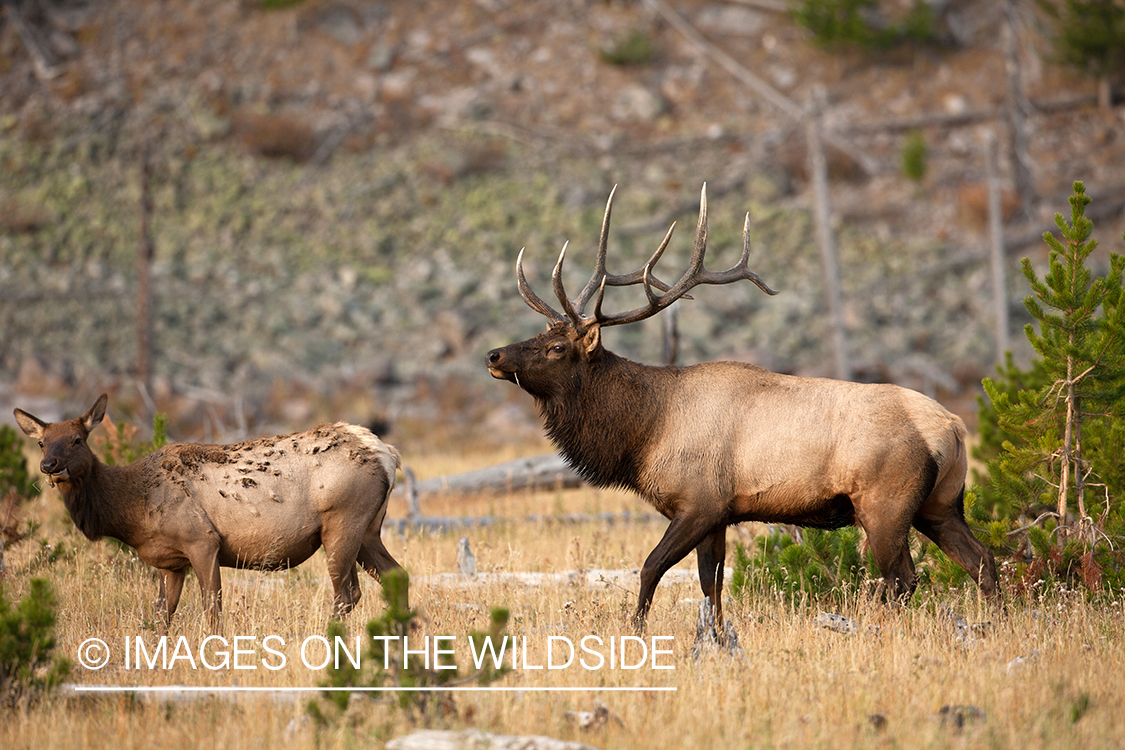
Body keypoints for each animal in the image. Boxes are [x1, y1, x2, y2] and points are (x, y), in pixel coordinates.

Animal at [14, 395, 405, 629]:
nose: (49, 465)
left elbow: (211, 609)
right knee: (396, 577)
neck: (132, 511)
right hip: (369, 530)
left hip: (342, 523)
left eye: (77, 439)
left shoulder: (201, 541)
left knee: (346, 594)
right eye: (42, 442)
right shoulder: (169, 561)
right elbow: (162, 616)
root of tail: (387, 454)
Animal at [488, 184, 999, 638]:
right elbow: (711, 586)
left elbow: (651, 568)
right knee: (983, 560)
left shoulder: (699, 501)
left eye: (557, 347)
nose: (494, 354)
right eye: (539, 333)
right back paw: (995, 623)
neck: (646, 433)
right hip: (940, 503)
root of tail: (952, 428)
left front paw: (635, 630)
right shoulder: (719, 515)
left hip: (884, 503)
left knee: (903, 580)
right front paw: (713, 637)